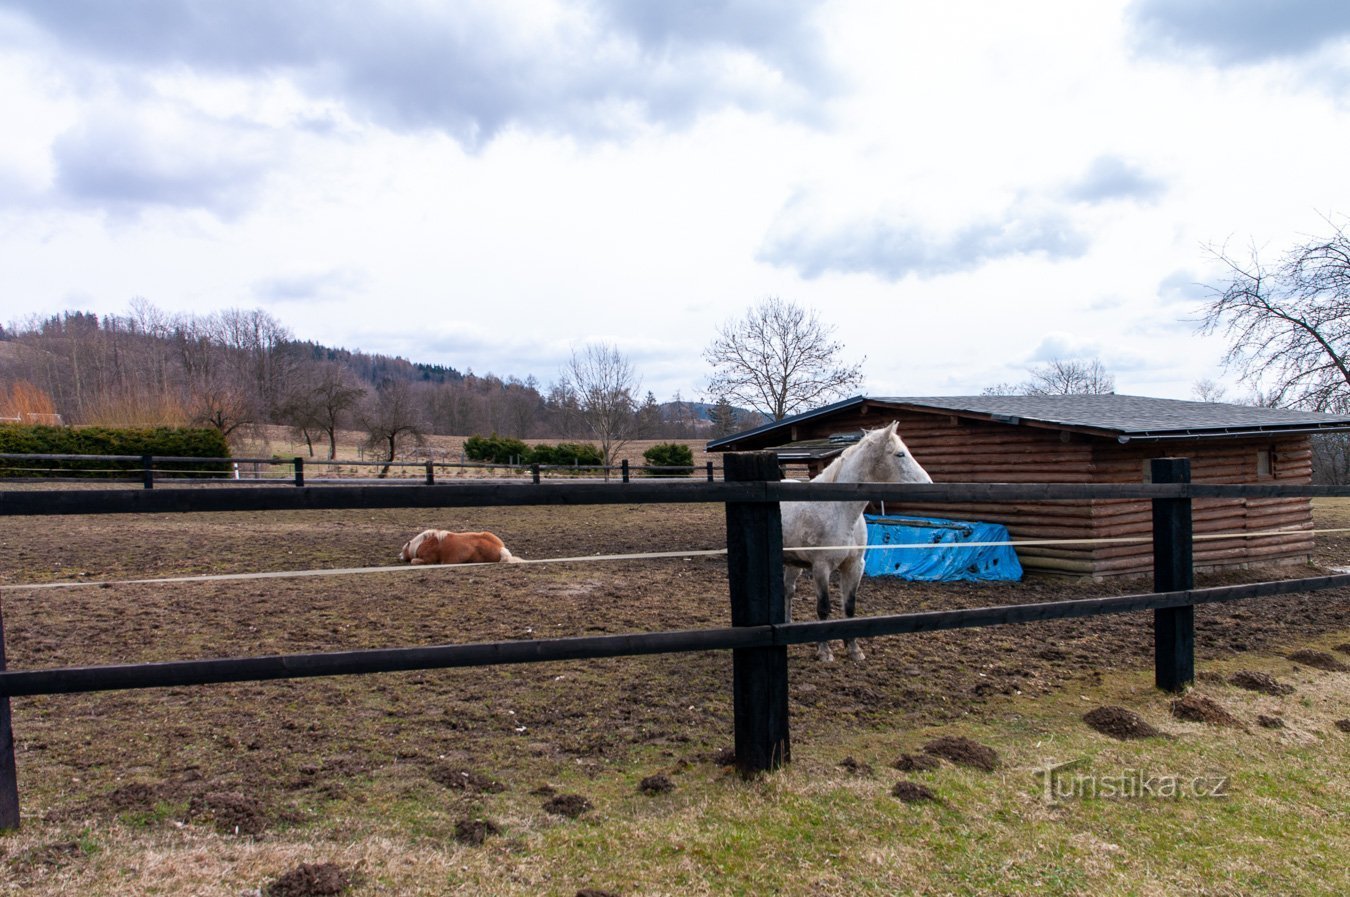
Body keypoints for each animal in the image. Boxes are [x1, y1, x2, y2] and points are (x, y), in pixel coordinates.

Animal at [777, 418, 934, 659]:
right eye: (900, 454)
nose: (929, 484)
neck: (839, 510)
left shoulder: (854, 566)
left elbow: (850, 607)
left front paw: (854, 649)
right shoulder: (821, 567)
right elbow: (823, 607)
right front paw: (825, 652)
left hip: (793, 563)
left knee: (788, 590)